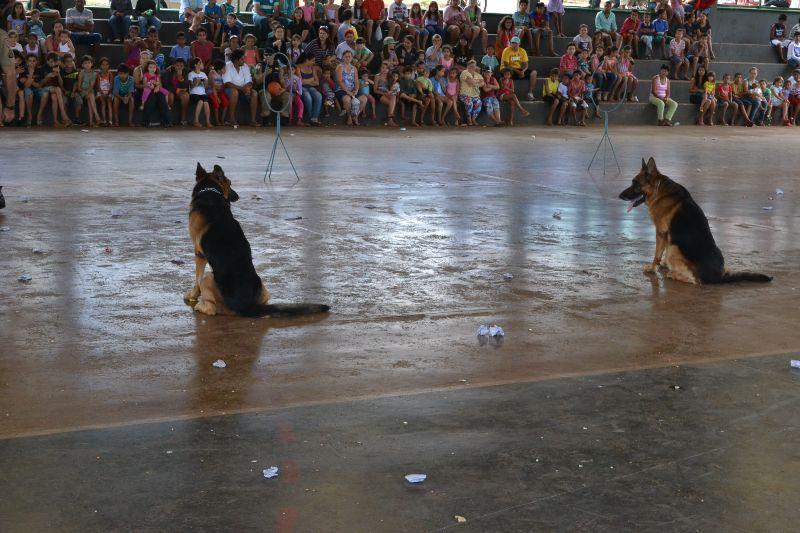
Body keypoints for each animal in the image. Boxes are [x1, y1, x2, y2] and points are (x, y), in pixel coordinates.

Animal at [186, 163, 330, 316]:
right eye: (229, 183)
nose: (237, 196)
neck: (209, 192)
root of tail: (249, 307)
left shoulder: (199, 254)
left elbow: (197, 279)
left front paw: (192, 295)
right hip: (264, 289)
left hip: (209, 277)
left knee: (210, 307)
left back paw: (199, 306)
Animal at [620, 156, 772, 284]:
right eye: (632, 182)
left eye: (636, 184)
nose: (620, 196)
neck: (659, 191)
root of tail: (719, 277)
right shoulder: (668, 235)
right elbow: (662, 250)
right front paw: (663, 264)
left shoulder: (661, 232)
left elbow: (657, 254)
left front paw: (653, 268)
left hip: (674, 248)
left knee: (694, 280)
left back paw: (674, 274)